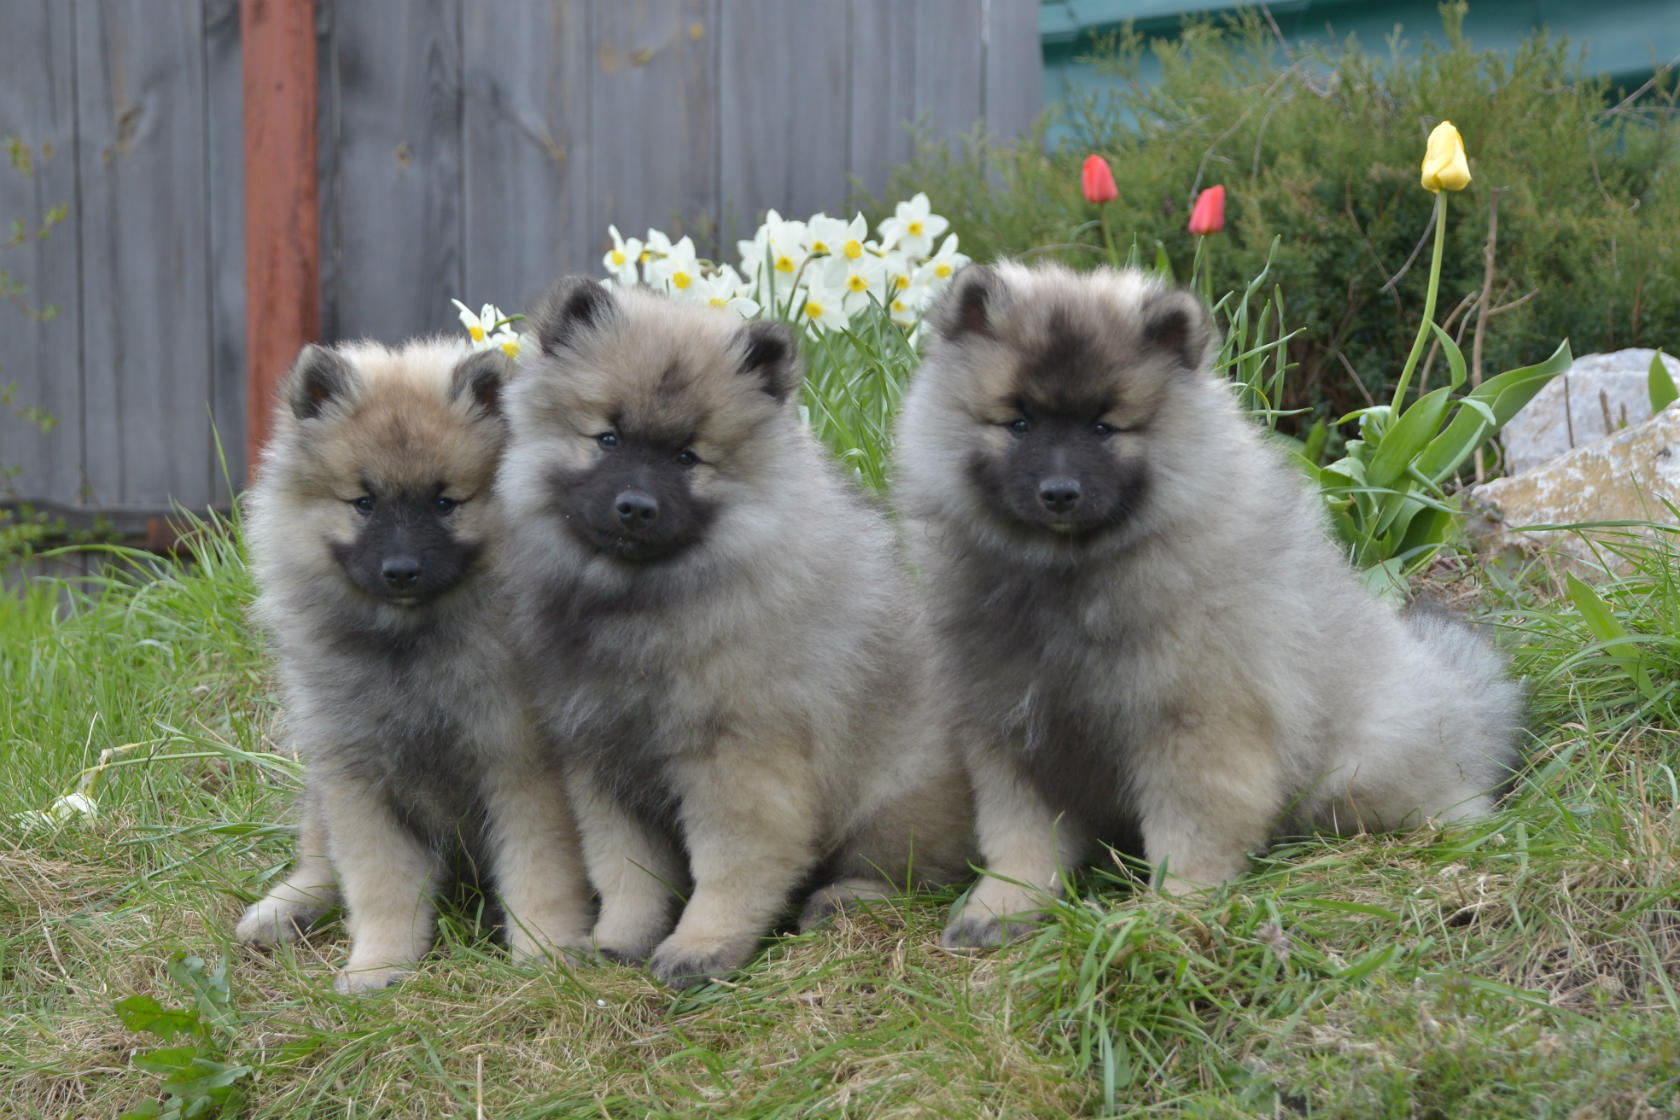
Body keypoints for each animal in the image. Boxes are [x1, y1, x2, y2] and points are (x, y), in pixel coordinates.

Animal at [236, 337, 591, 994]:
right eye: (364, 503)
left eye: (445, 502)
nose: (401, 570)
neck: (410, 648)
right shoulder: (358, 783)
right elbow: (379, 886)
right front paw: (378, 966)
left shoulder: (523, 770)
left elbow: (541, 874)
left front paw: (547, 954)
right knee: (319, 861)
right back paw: (283, 909)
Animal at [493, 280, 974, 987]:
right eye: (607, 438)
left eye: (687, 457)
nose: (635, 506)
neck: (644, 601)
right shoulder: (601, 763)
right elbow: (625, 871)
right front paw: (619, 941)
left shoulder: (738, 761)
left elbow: (730, 867)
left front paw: (701, 947)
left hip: (895, 794)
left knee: (913, 872)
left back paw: (846, 898)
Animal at [900, 263, 1532, 947]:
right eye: (1019, 424)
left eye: (1102, 427)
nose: (1059, 492)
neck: (1068, 576)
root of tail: (1464, 695)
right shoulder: (1009, 730)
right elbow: (1020, 838)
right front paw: (1003, 906)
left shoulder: (1197, 723)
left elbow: (1190, 830)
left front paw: (1175, 909)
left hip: (1358, 771)